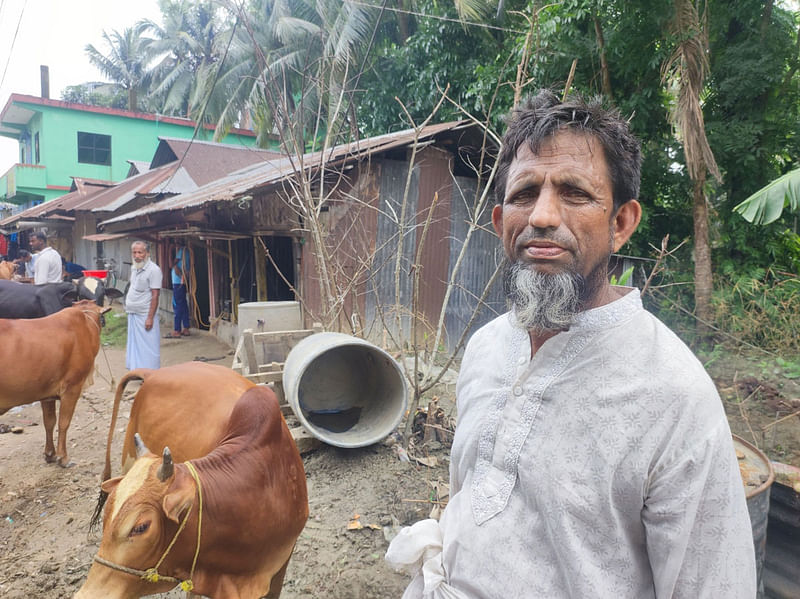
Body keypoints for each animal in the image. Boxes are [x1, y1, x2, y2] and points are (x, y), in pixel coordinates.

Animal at [0, 302, 108, 466]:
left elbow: (49, 422)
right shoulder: (72, 387)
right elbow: (64, 422)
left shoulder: (47, 394)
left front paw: (50, 454)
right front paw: (63, 458)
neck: (86, 325)